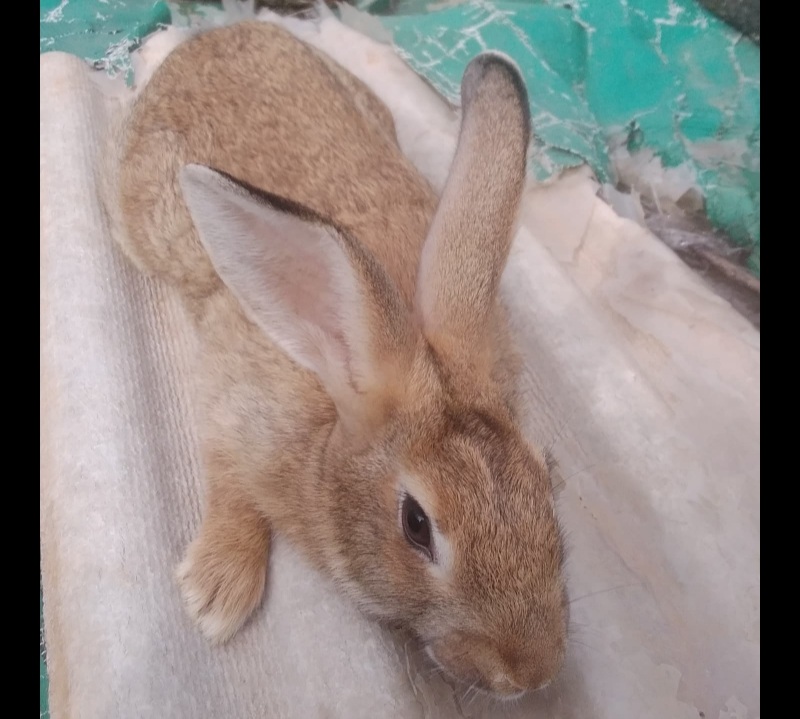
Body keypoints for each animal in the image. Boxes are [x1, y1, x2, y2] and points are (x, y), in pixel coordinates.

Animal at [100, 20, 568, 697]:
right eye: (416, 525)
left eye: (544, 479)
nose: (531, 674)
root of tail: (217, 31)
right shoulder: (233, 400)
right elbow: (228, 476)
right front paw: (217, 591)